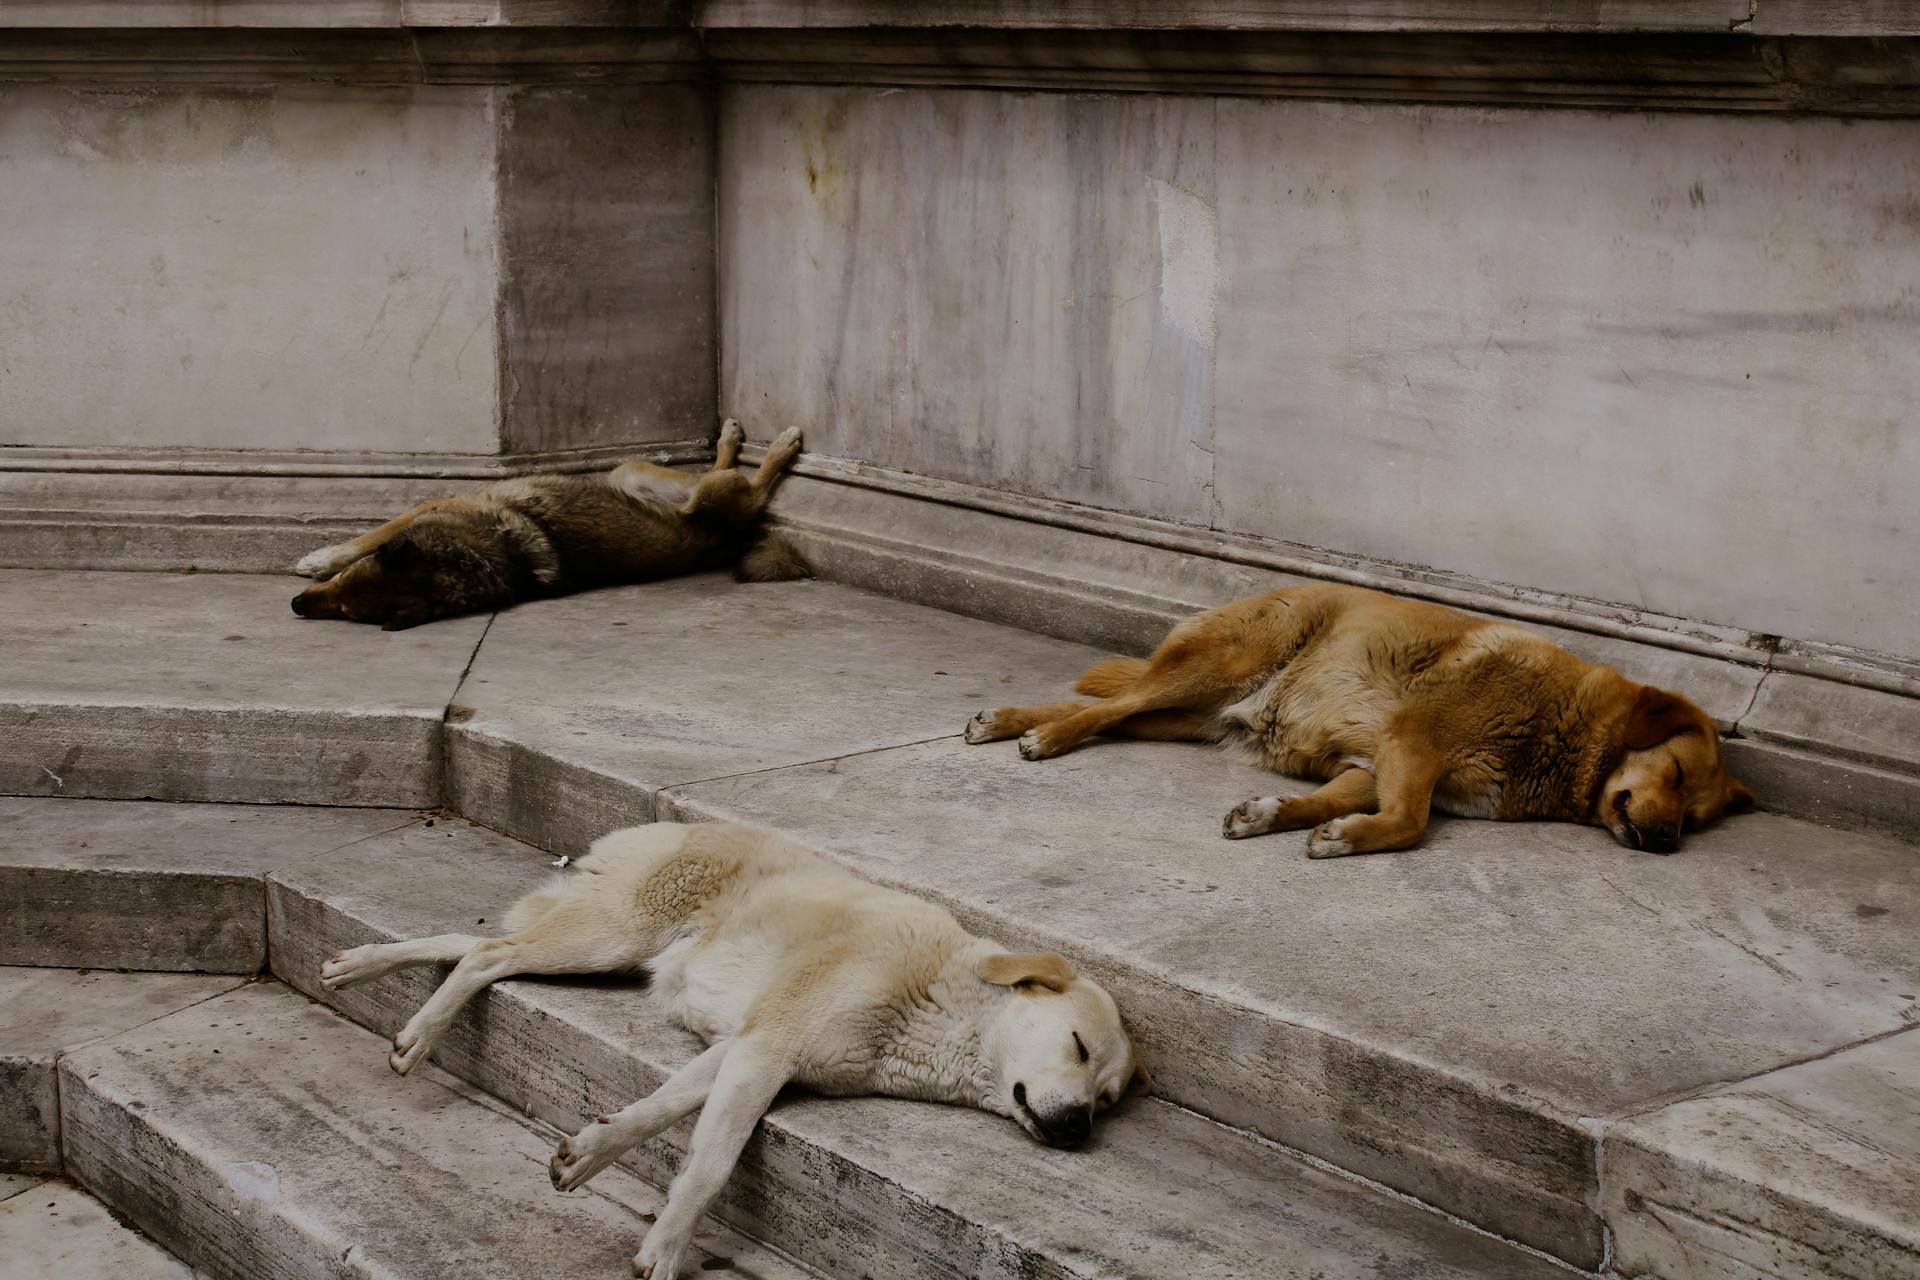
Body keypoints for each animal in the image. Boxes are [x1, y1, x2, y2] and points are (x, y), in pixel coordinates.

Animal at [291, 422, 810, 629]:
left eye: (346, 604)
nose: (296, 605)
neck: (482, 552)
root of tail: (728, 539)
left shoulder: (436, 504)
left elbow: (374, 533)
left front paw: (320, 557)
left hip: (702, 489)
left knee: (754, 486)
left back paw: (777, 446)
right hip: (634, 471)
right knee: (721, 472)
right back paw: (732, 440)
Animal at [967, 587, 1751, 855]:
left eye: (1696, 816)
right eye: (1674, 771)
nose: (1667, 843)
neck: (1566, 729)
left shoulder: (1372, 764)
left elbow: (1331, 802)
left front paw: (1276, 815)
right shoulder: (1415, 741)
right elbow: (1408, 823)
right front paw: (1351, 838)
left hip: (1190, 715)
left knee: (1109, 712)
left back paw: (1016, 718)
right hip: (1222, 663)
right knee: (1110, 705)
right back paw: (1036, 733)